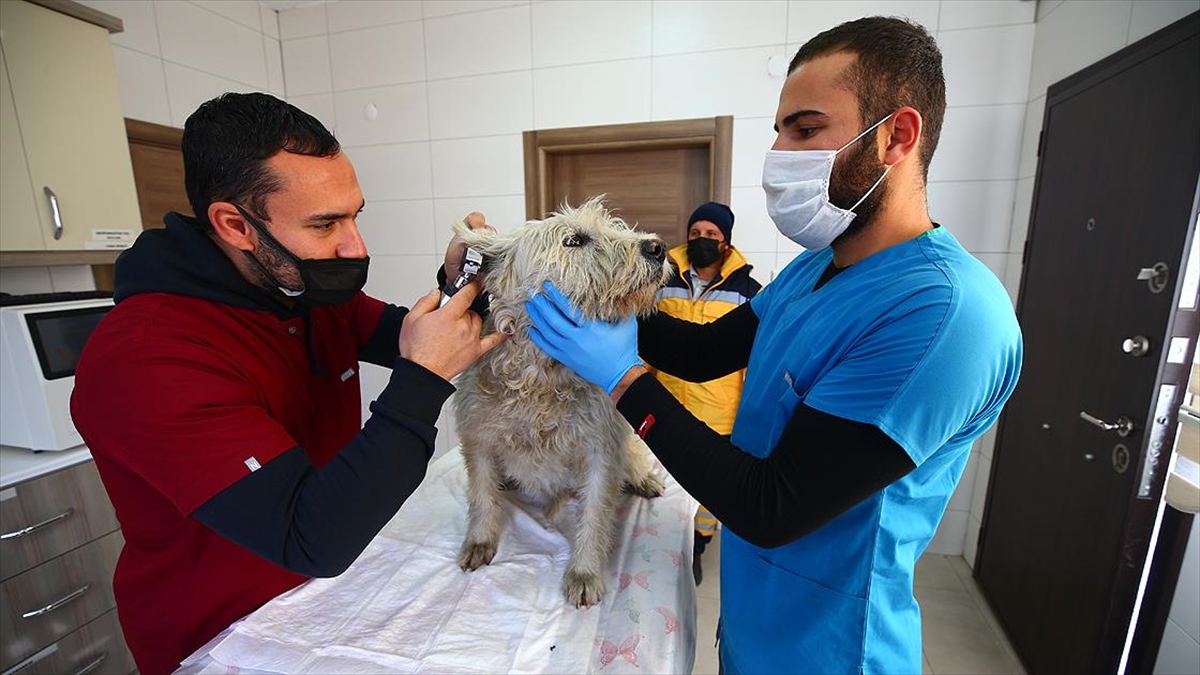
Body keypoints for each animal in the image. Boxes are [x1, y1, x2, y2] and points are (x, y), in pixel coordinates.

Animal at [451, 195, 672, 605]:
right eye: (574, 240)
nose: (657, 247)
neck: (541, 376)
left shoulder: (602, 449)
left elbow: (595, 514)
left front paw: (585, 572)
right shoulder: (478, 439)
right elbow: (483, 493)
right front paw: (480, 539)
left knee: (635, 458)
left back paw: (643, 479)